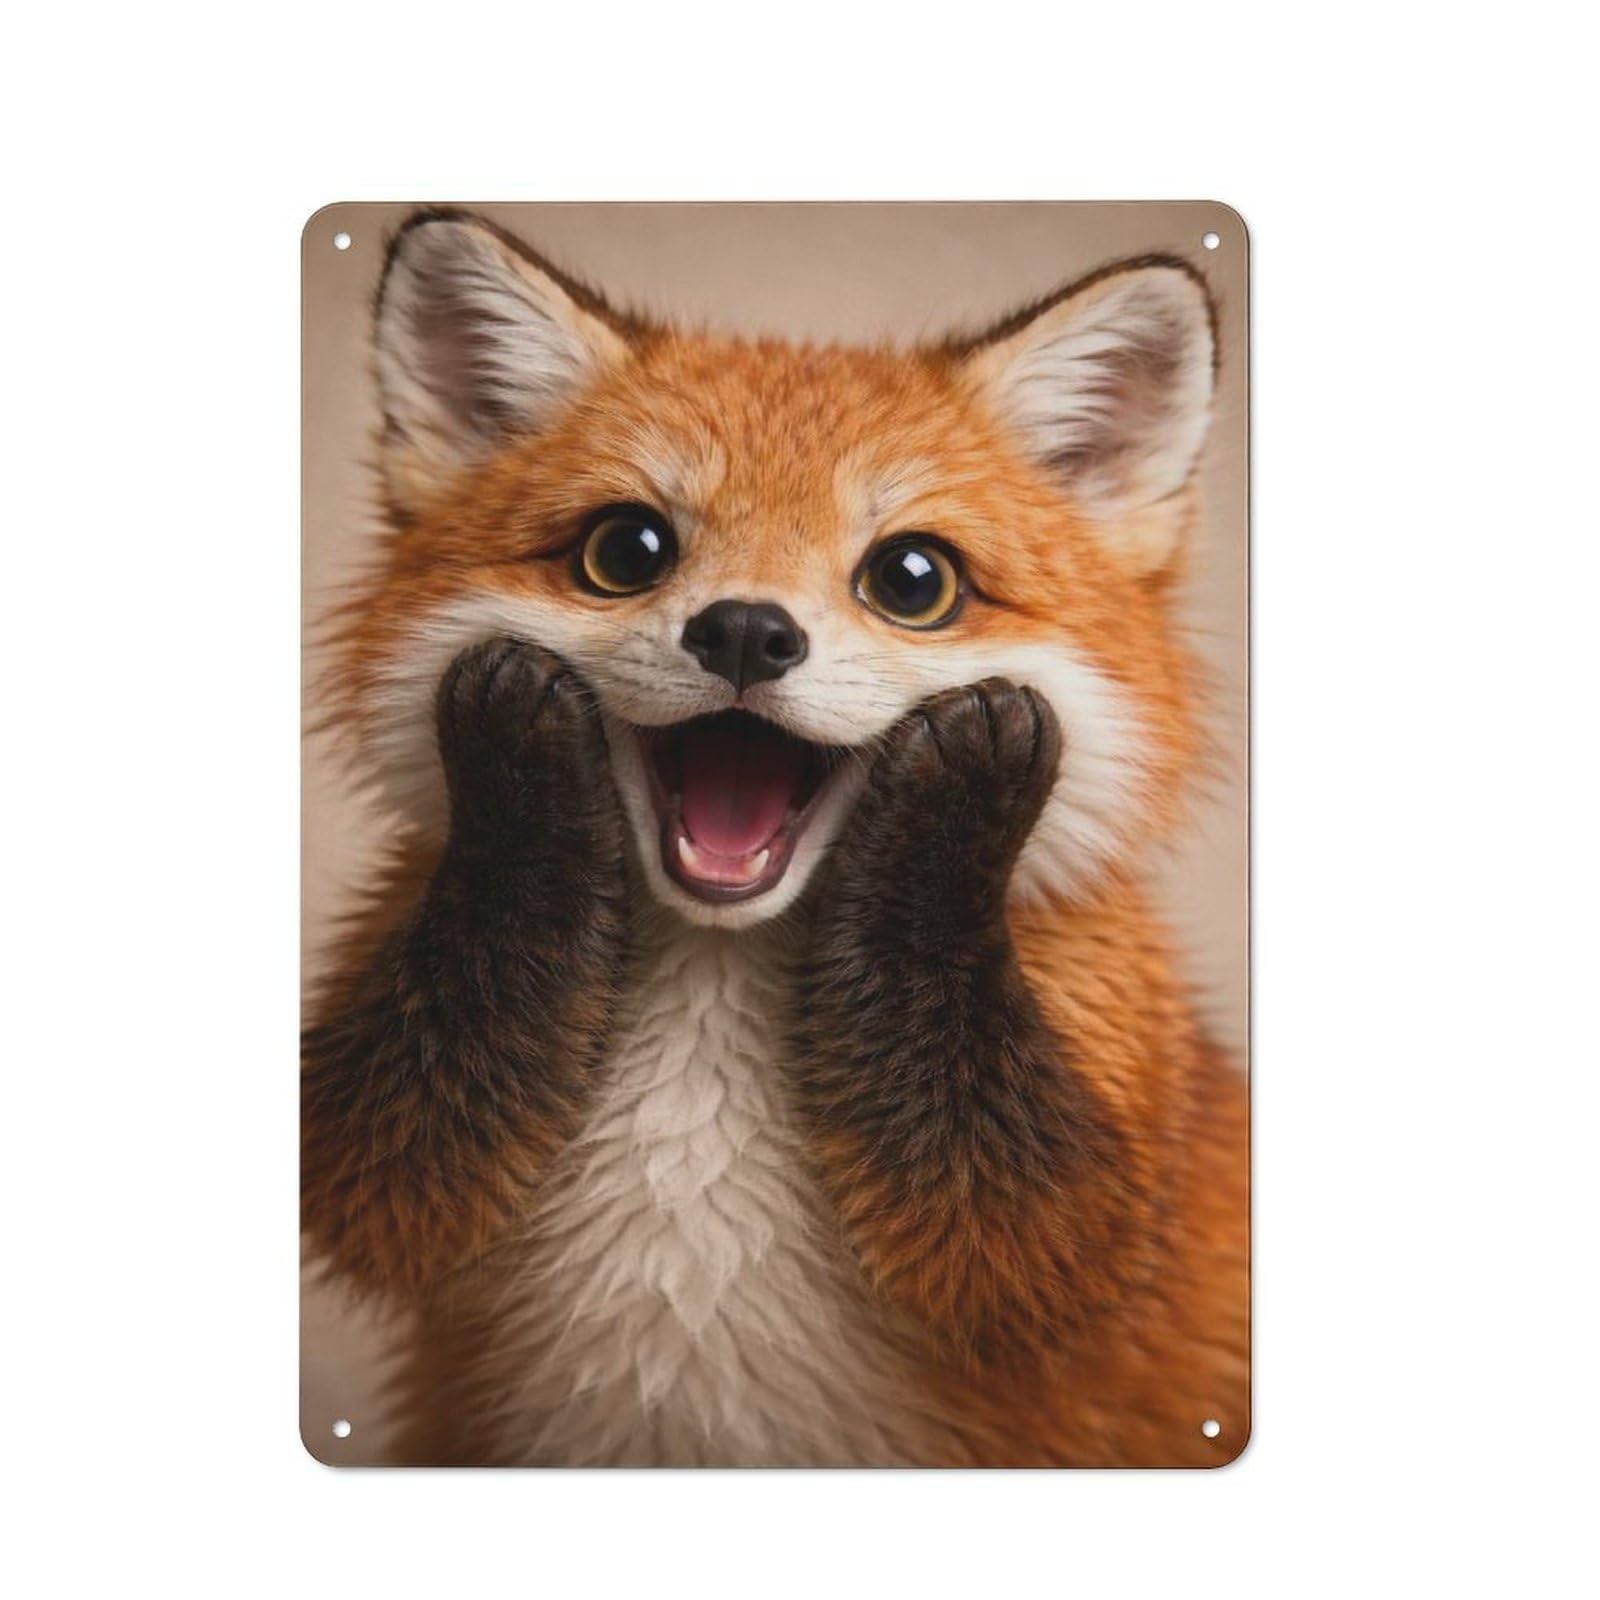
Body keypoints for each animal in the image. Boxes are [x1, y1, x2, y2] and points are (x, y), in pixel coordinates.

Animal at [302, 209, 1249, 1467]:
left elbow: (1027, 1233)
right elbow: (379, 1161)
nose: (747, 631)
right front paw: (516, 758)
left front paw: (957, 800)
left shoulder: (1094, 1208)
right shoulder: (379, 1143)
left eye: (913, 579)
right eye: (626, 550)